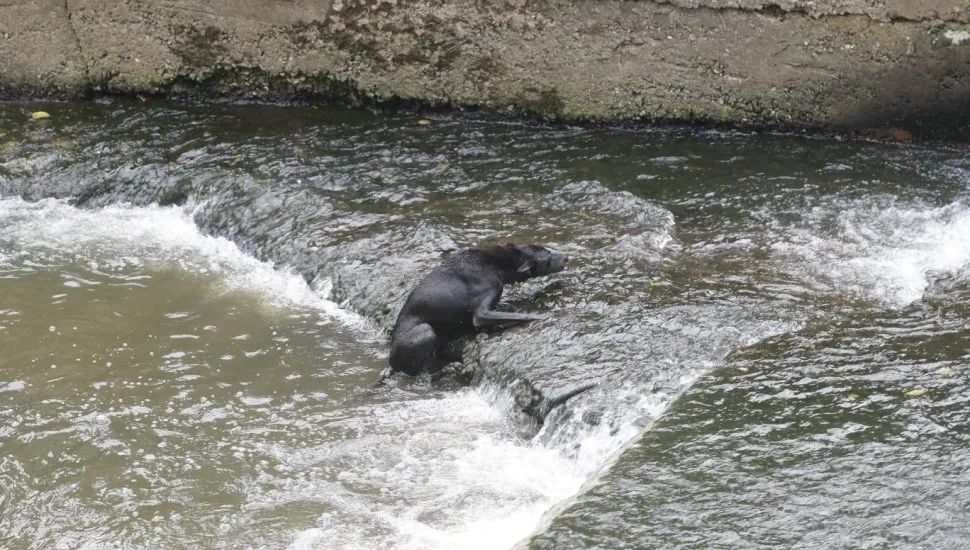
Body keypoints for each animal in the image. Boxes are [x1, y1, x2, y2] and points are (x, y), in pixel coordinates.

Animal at [382, 244, 568, 382]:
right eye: (548, 258)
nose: (567, 257)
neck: (497, 264)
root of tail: (392, 364)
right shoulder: (483, 309)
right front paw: (540, 315)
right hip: (426, 332)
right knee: (422, 376)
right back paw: (449, 369)